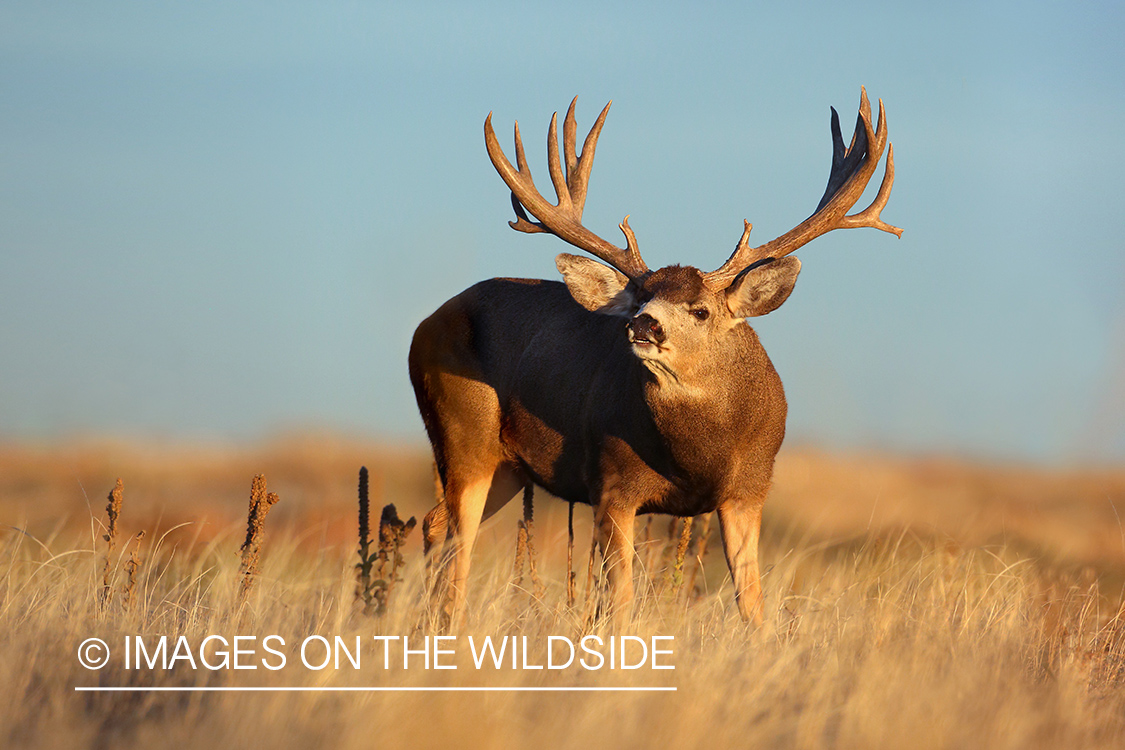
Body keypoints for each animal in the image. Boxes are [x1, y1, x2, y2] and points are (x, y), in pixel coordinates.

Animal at [409, 86, 900, 629]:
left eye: (701, 310)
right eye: (639, 298)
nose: (642, 324)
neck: (698, 458)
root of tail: (423, 326)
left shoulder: (750, 489)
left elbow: (752, 606)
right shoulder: (611, 482)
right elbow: (618, 603)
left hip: (508, 466)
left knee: (436, 526)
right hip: (464, 429)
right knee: (455, 540)